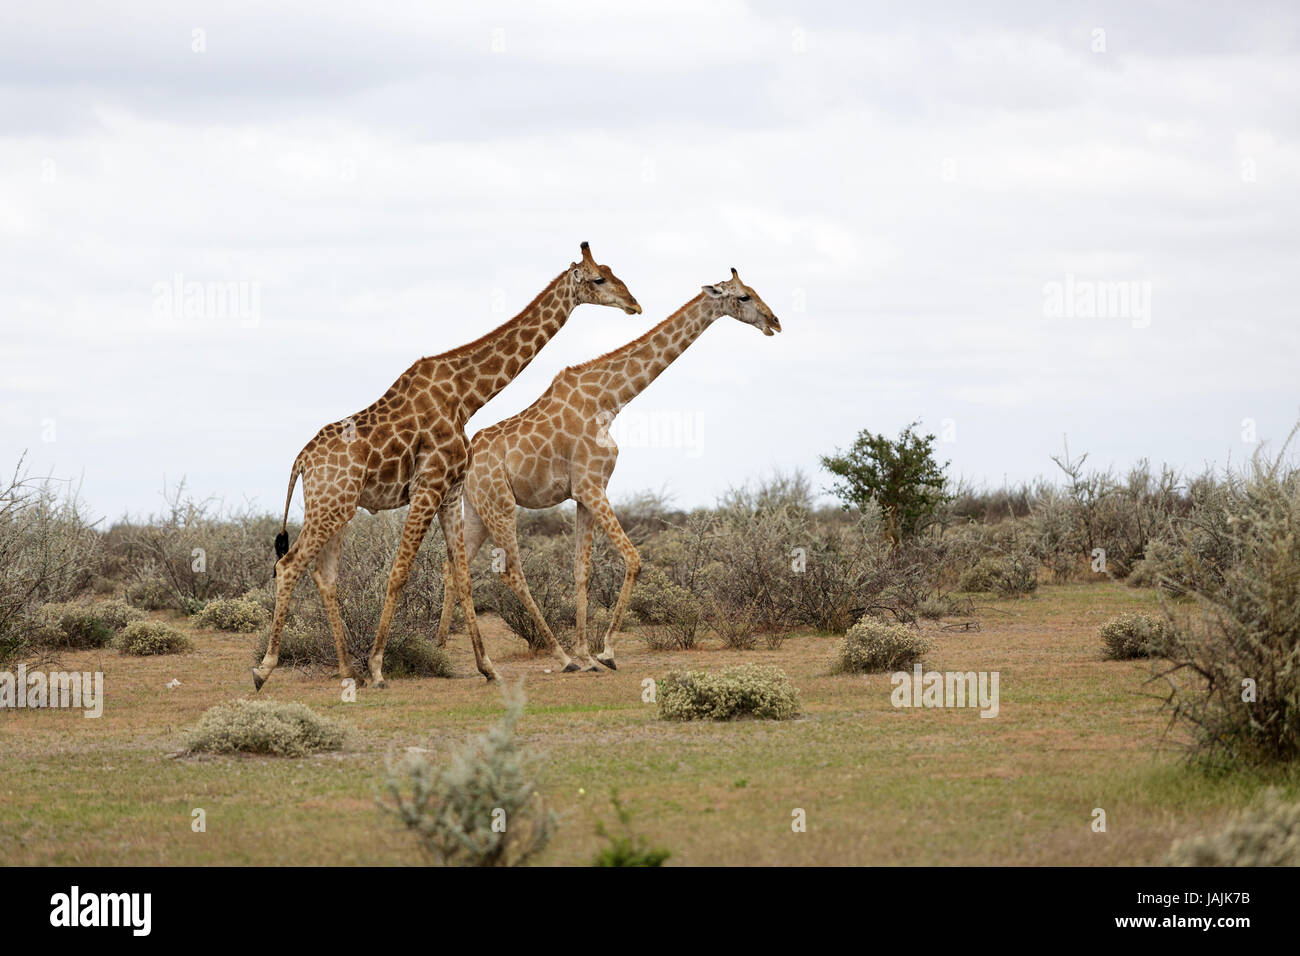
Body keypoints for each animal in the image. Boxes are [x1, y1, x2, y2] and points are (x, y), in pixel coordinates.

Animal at [253, 242, 642, 691]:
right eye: (599, 278)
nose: (634, 304)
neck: (465, 396)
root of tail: (301, 460)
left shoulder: (451, 490)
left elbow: (462, 573)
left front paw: (487, 667)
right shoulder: (428, 485)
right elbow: (399, 571)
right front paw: (379, 668)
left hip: (336, 508)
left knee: (324, 573)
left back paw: (347, 671)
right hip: (330, 505)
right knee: (288, 564)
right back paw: (266, 669)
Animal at [436, 268, 780, 670]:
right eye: (743, 297)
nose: (775, 321)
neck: (609, 400)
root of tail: (466, 460)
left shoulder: (584, 494)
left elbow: (581, 571)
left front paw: (587, 654)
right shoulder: (591, 487)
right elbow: (634, 559)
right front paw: (606, 651)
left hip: (476, 508)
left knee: (454, 567)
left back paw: (441, 648)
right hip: (500, 504)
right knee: (510, 571)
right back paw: (558, 655)